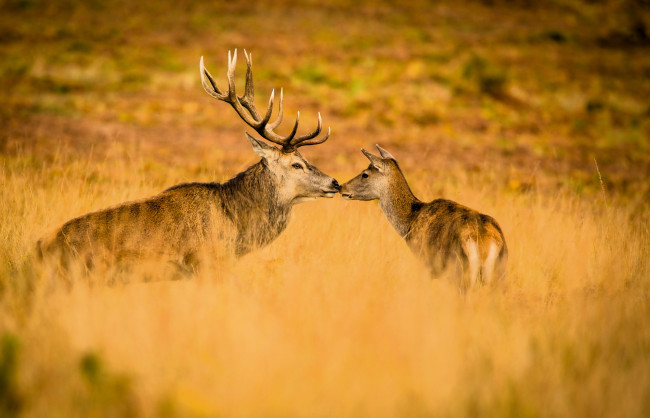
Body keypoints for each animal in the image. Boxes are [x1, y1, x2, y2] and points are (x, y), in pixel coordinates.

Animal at [340, 145, 506, 290]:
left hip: (460, 272)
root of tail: (486, 243)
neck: (410, 221)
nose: (342, 187)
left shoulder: (424, 263)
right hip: (498, 274)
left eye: (365, 174)